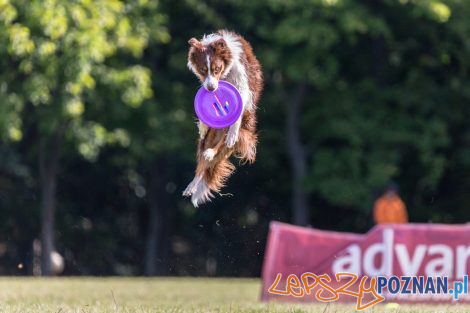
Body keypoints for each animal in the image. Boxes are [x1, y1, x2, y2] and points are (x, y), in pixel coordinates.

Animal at [182, 29, 262, 207]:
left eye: (217, 69)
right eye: (203, 70)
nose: (212, 88)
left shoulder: (243, 88)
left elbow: (238, 110)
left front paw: (232, 133)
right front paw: (203, 125)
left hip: (237, 136)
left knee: (220, 147)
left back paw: (215, 149)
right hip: (207, 140)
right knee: (203, 165)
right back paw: (192, 185)